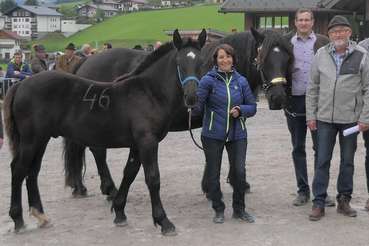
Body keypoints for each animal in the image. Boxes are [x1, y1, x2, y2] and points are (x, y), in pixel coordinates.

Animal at [2, 31, 204, 235]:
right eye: (179, 62)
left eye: (201, 62)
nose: (192, 97)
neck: (148, 93)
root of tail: (21, 85)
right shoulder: (147, 142)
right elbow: (153, 178)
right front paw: (164, 222)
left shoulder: (137, 145)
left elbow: (129, 173)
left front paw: (120, 212)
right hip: (31, 140)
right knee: (18, 170)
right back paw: (18, 219)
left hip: (40, 140)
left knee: (32, 172)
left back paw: (41, 215)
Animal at [64, 27, 290, 199]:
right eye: (262, 57)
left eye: (286, 57)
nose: (279, 97)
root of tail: (86, 62)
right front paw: (226, 185)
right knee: (97, 151)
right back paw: (108, 188)